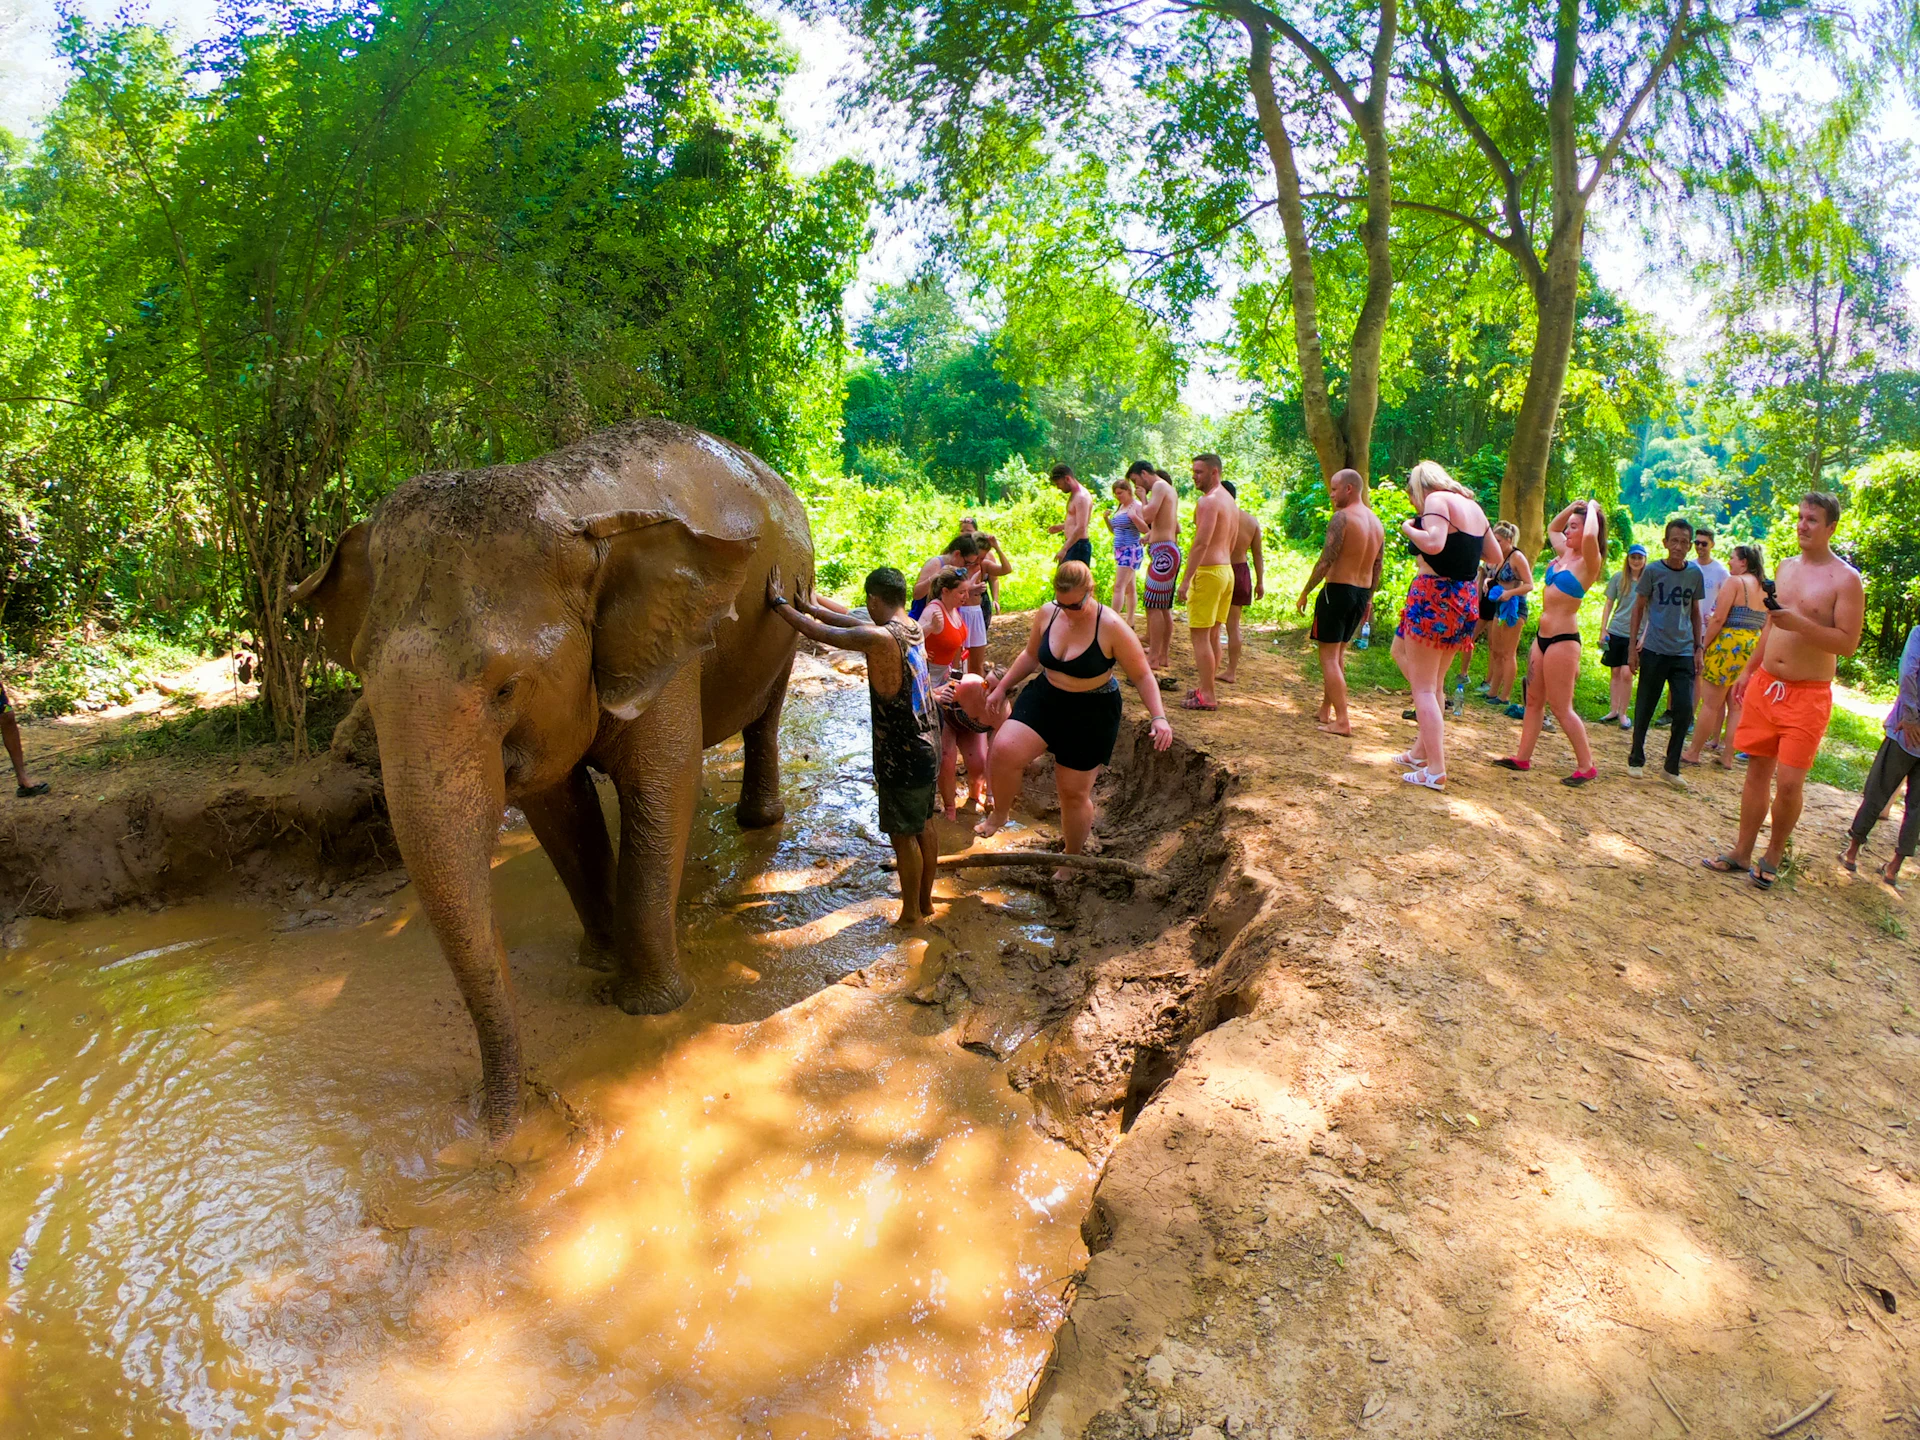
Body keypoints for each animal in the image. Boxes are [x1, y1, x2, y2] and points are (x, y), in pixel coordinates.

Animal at [292, 419, 810, 1140]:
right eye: (363, 673)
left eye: (506, 687)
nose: (492, 1128)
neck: (571, 503)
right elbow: (559, 810)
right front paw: (599, 960)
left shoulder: (669, 649)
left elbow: (662, 785)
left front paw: (650, 1006)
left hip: (786, 615)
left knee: (766, 716)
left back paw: (758, 821)